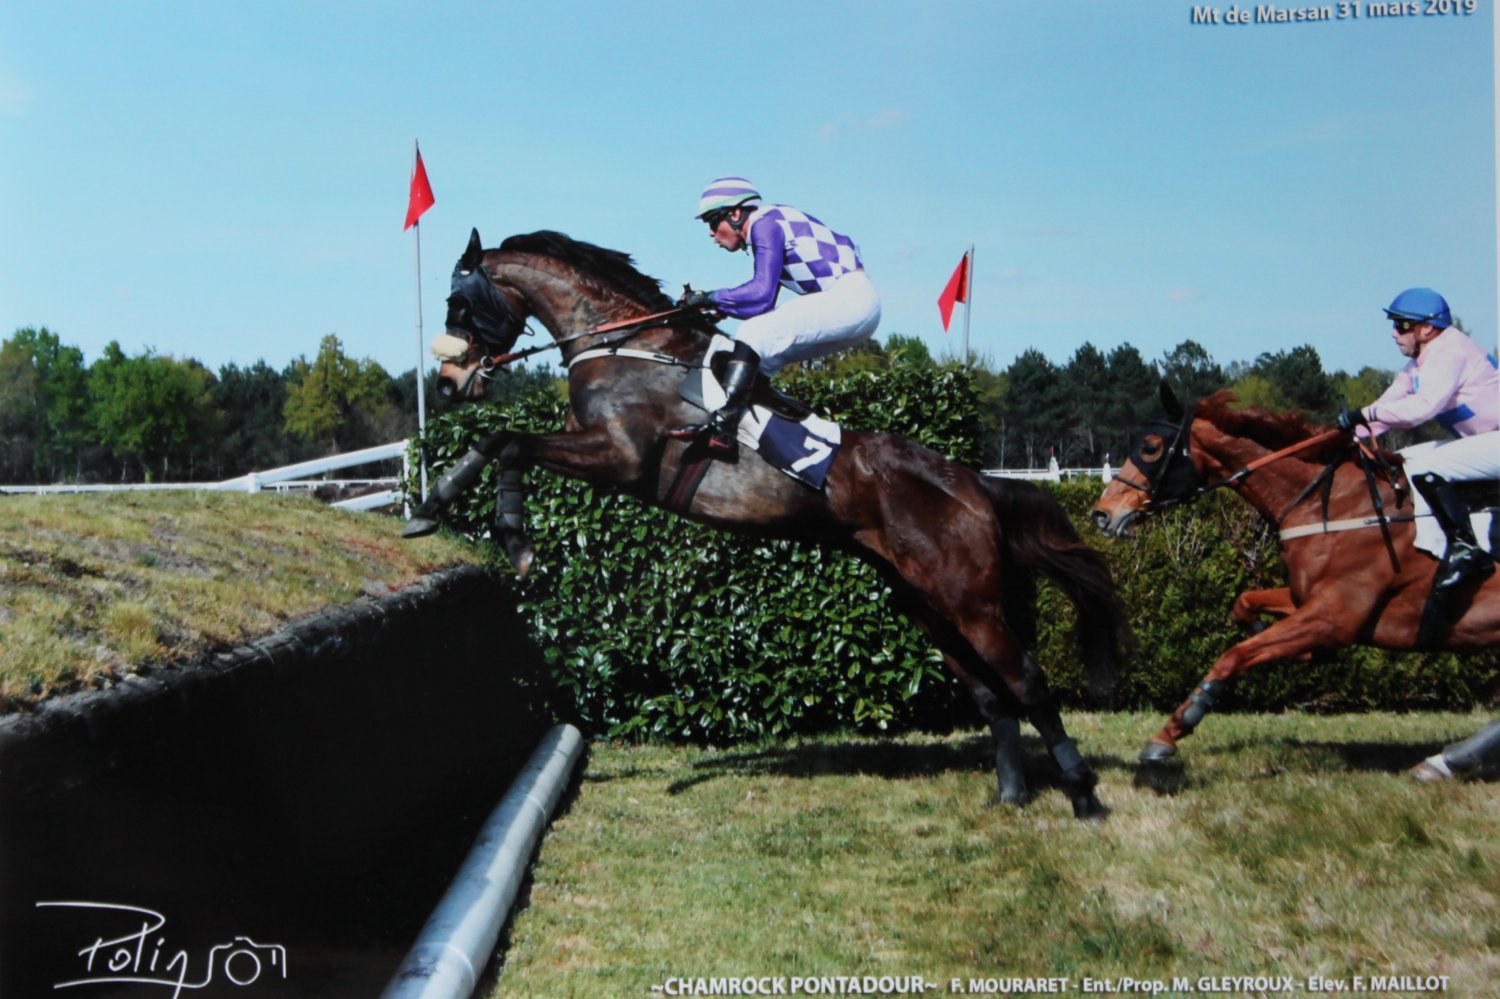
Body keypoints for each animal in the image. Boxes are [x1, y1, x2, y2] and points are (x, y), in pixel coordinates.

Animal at [402, 228, 1127, 819]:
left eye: (458, 306)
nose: (448, 383)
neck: (626, 345)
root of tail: (973, 483)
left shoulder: (620, 457)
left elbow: (509, 442)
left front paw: (507, 534)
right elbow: (501, 441)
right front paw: (434, 508)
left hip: (970, 600)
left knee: (1027, 681)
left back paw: (1084, 794)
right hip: (926, 601)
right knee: (990, 694)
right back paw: (1011, 793)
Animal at [1090, 383, 1500, 762]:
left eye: (1151, 447)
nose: (1102, 514)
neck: (1335, 504)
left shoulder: (1335, 617)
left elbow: (1234, 656)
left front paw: (1173, 729)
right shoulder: (1307, 600)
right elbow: (1245, 603)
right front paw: (1270, 635)